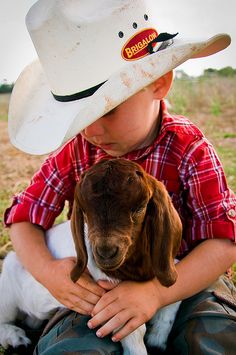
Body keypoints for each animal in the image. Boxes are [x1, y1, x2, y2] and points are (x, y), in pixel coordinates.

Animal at [0, 160, 183, 354]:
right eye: (85, 212)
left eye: (140, 208)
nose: (105, 253)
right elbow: (133, 331)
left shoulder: (166, 264)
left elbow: (174, 298)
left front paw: (157, 337)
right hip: (7, 288)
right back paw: (16, 338)